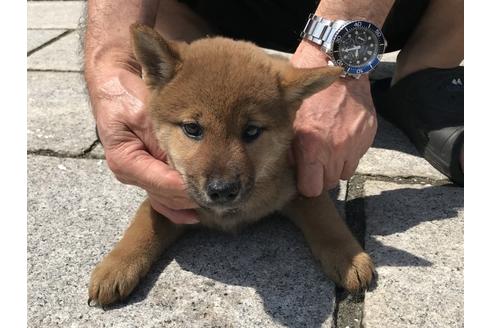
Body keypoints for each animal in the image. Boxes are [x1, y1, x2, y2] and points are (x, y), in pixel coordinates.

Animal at [88, 24, 372, 306]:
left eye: (251, 131)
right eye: (192, 128)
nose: (222, 190)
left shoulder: (302, 185)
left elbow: (326, 219)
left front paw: (349, 258)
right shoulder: (166, 201)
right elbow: (145, 226)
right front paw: (115, 266)